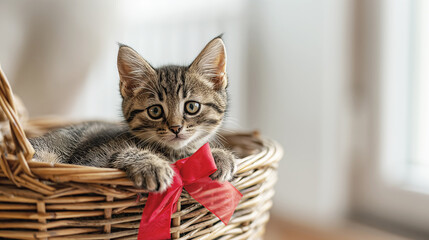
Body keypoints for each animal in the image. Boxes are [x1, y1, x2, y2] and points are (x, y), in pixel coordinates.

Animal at [29, 37, 237, 191]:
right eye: (155, 111)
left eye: (192, 107)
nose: (176, 128)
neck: (174, 154)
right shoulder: (90, 163)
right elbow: (120, 154)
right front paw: (151, 165)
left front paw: (219, 156)